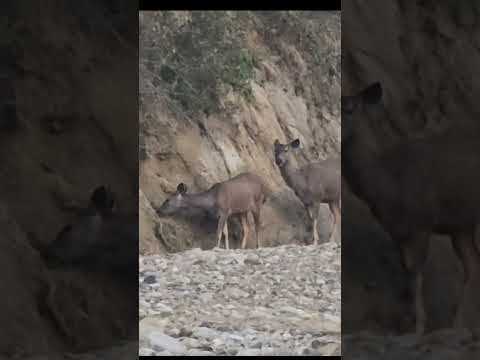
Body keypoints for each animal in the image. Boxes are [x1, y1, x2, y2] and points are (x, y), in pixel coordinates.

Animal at [344, 81, 480, 334]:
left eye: (349, 108)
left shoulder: (422, 221)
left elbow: (417, 273)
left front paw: (419, 326)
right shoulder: (398, 230)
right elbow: (407, 272)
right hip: (461, 224)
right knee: (473, 265)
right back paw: (458, 326)